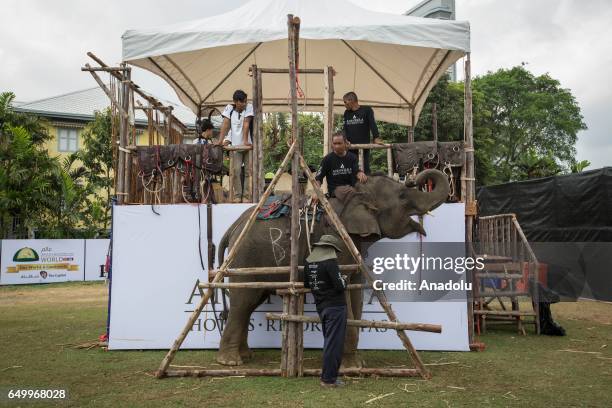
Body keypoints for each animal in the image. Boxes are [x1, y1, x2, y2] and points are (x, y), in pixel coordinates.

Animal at [215, 168, 450, 366]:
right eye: (402, 195)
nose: (415, 178)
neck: (356, 195)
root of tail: (233, 227)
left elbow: (356, 297)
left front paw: (357, 363)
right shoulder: (339, 242)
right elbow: (343, 295)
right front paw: (350, 367)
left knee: (250, 303)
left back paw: (245, 356)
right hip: (245, 259)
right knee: (243, 301)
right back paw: (230, 362)